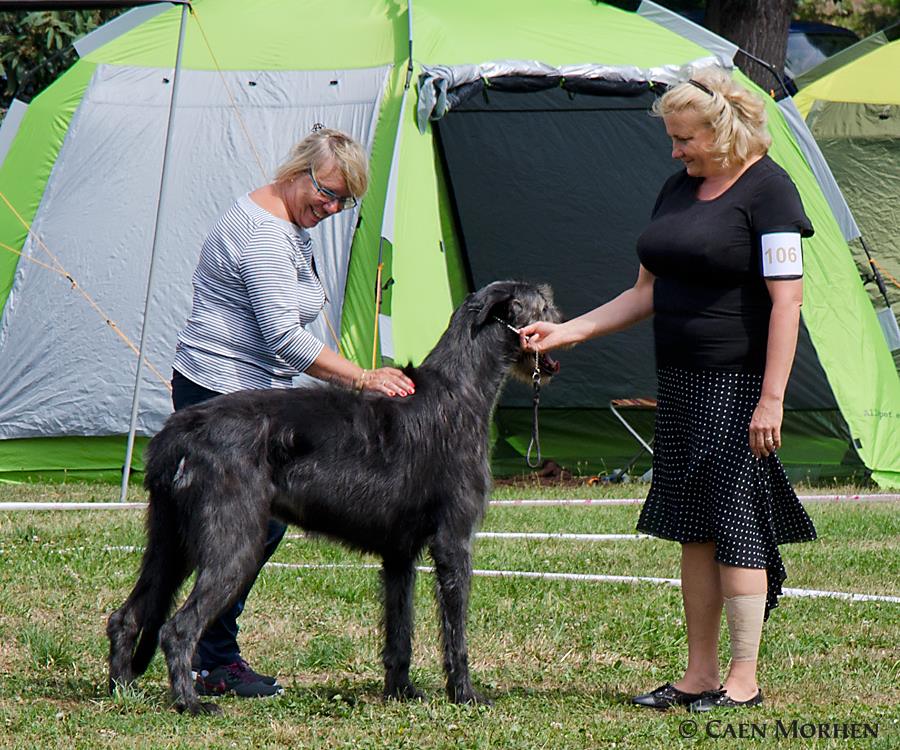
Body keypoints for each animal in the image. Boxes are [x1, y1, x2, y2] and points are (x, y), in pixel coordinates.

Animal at [105, 280, 560, 716]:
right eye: (546, 303)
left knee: (126, 616)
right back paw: (190, 702)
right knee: (178, 628)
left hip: (171, 540)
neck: (460, 387)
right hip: (234, 543)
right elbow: (455, 630)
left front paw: (401, 691)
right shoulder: (454, 542)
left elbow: (400, 630)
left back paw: (123, 690)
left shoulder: (399, 554)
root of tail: (177, 432)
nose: (560, 326)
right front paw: (465, 694)